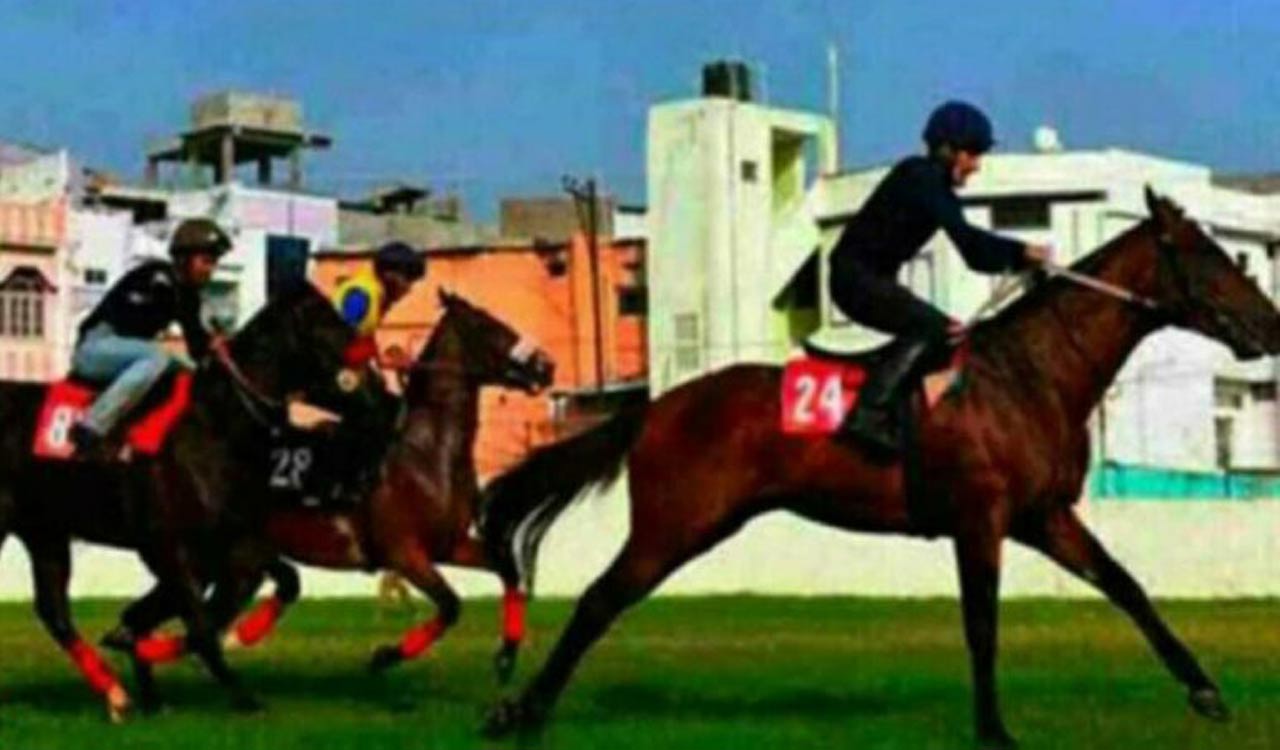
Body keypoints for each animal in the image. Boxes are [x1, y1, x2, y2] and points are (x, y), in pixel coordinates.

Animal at [0, 283, 356, 720]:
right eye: (326, 322)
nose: (367, 364)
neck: (215, 425)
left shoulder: (231, 539)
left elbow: (281, 581)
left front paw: (146, 660)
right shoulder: (167, 546)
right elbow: (200, 625)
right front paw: (243, 696)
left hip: (44, 532)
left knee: (54, 612)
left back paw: (116, 695)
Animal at [103, 290, 555, 700]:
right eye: (489, 326)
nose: (545, 366)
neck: (426, 452)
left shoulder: (450, 544)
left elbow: (507, 569)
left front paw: (507, 657)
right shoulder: (404, 553)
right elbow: (450, 605)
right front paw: (385, 656)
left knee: (159, 619)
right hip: (213, 559)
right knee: (180, 621)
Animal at [478, 188, 1280, 748]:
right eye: (1213, 258)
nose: (1271, 326)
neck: (1031, 374)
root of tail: (657, 407)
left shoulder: (1043, 516)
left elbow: (1126, 587)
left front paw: (1206, 692)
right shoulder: (980, 519)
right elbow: (981, 624)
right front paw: (994, 729)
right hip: (676, 525)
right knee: (597, 602)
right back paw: (519, 711)